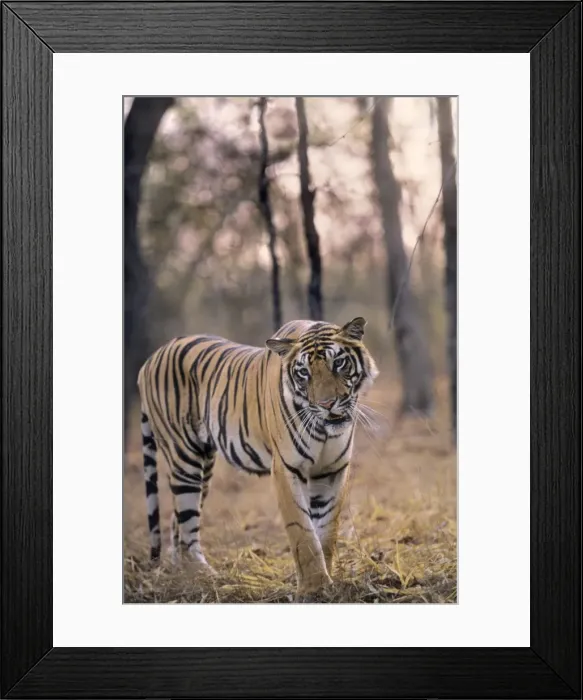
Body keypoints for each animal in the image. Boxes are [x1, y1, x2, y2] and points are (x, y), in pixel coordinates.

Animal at [137, 317, 378, 598]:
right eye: (304, 373)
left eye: (338, 363)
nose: (327, 404)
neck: (323, 429)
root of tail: (150, 358)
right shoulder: (286, 468)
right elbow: (303, 531)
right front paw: (314, 587)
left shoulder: (332, 471)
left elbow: (327, 531)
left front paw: (327, 582)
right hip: (184, 458)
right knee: (186, 524)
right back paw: (204, 577)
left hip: (203, 466)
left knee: (178, 522)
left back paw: (184, 577)